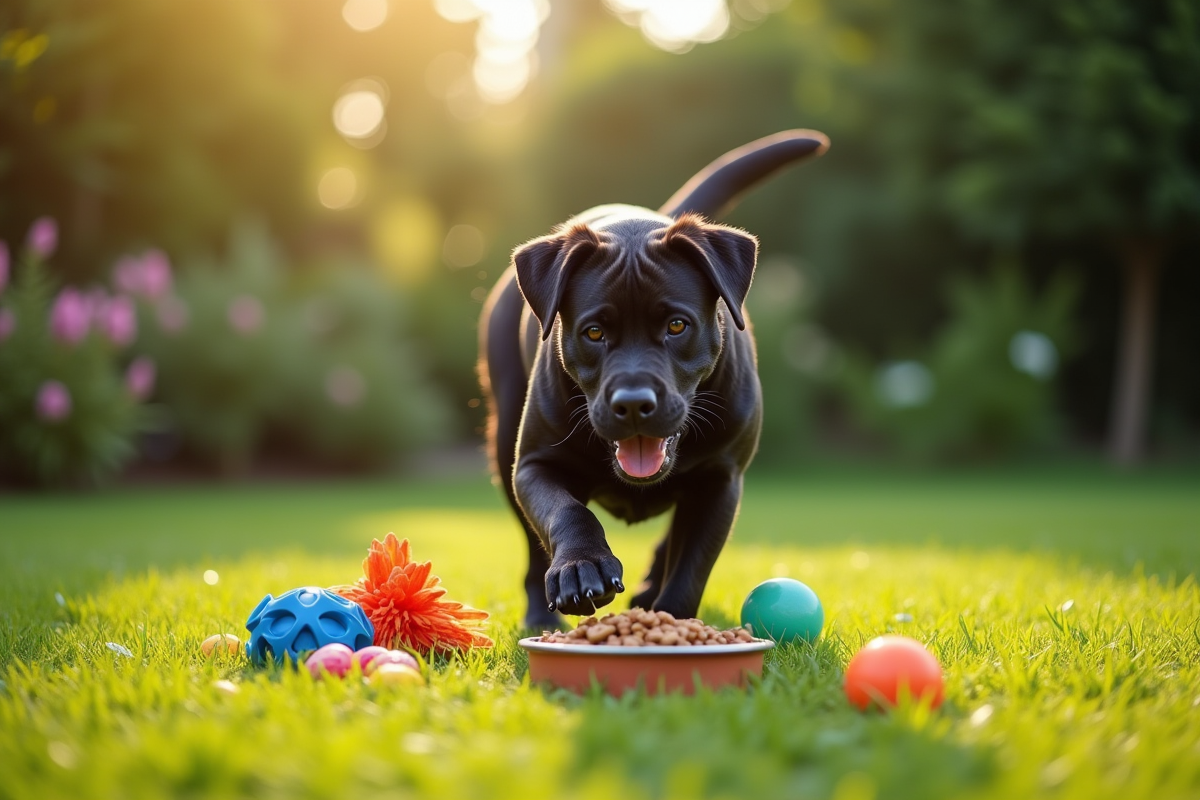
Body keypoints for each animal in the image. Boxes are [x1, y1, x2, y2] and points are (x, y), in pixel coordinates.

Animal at [475, 131, 825, 628]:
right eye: (594, 332)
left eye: (677, 326)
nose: (634, 403)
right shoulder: (534, 465)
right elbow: (566, 512)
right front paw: (581, 568)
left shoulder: (721, 480)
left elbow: (691, 567)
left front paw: (671, 622)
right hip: (504, 437)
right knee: (532, 546)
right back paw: (541, 614)